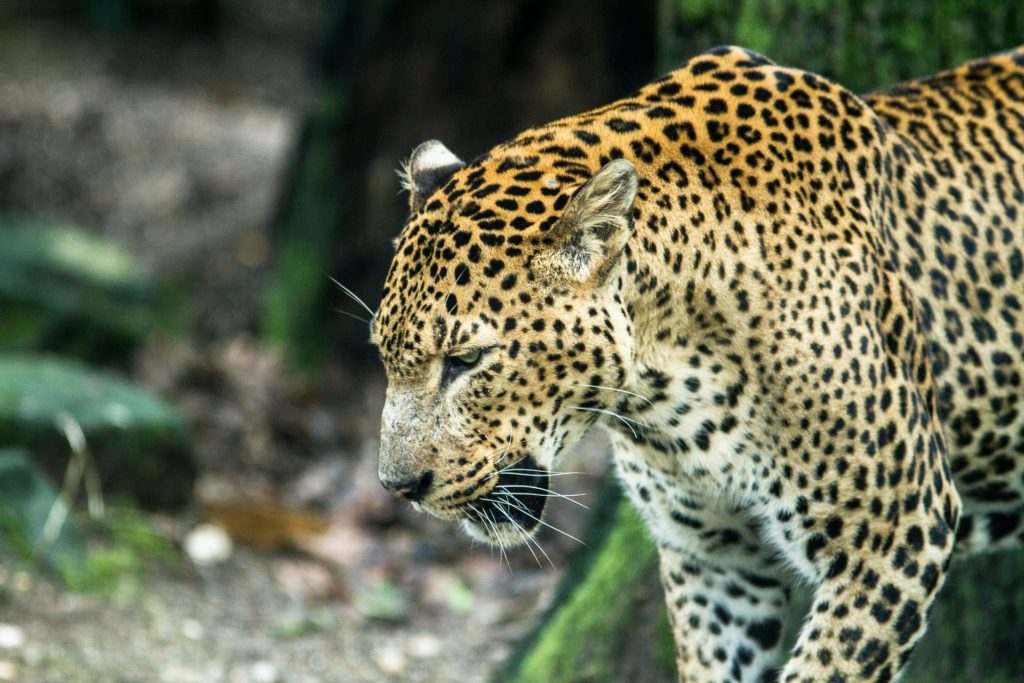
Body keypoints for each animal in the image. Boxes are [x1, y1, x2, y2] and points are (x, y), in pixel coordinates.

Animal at [368, 45, 1024, 679]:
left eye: (465, 360)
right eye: (383, 354)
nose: (398, 488)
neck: (670, 389)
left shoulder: (896, 534)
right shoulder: (715, 565)